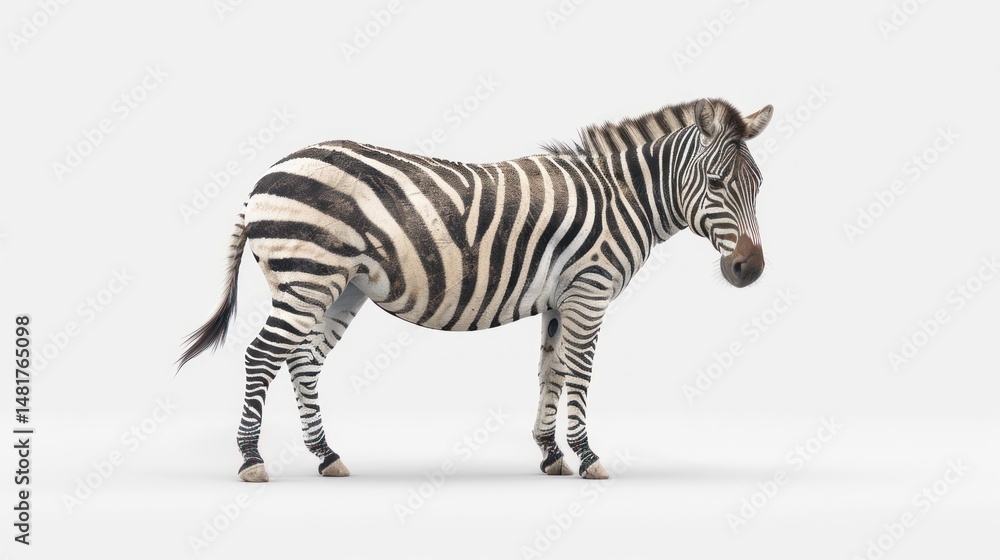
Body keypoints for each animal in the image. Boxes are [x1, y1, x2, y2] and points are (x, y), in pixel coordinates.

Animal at [178, 97, 773, 482]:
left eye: (760, 184)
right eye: (716, 184)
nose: (750, 270)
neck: (624, 198)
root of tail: (265, 175)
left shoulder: (561, 298)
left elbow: (551, 370)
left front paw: (550, 454)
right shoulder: (590, 290)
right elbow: (579, 372)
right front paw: (586, 457)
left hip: (340, 286)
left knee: (302, 360)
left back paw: (326, 456)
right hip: (307, 276)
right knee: (261, 355)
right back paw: (251, 460)